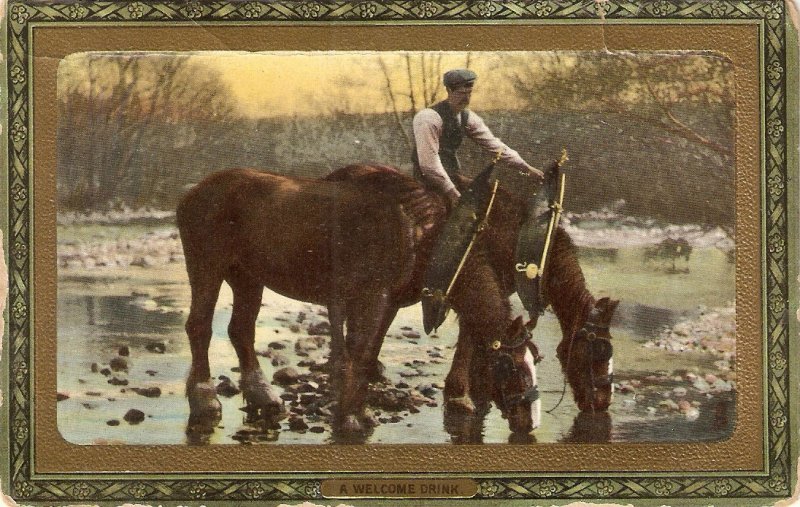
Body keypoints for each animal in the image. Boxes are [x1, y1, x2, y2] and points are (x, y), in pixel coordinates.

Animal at [175, 165, 536, 434]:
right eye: (511, 367)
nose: (528, 423)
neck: (419, 234)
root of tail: (191, 193)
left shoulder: (374, 301)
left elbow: (362, 352)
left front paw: (357, 411)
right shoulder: (371, 297)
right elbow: (360, 351)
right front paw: (350, 417)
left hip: (247, 277)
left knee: (241, 330)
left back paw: (262, 396)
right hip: (207, 266)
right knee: (199, 326)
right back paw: (204, 400)